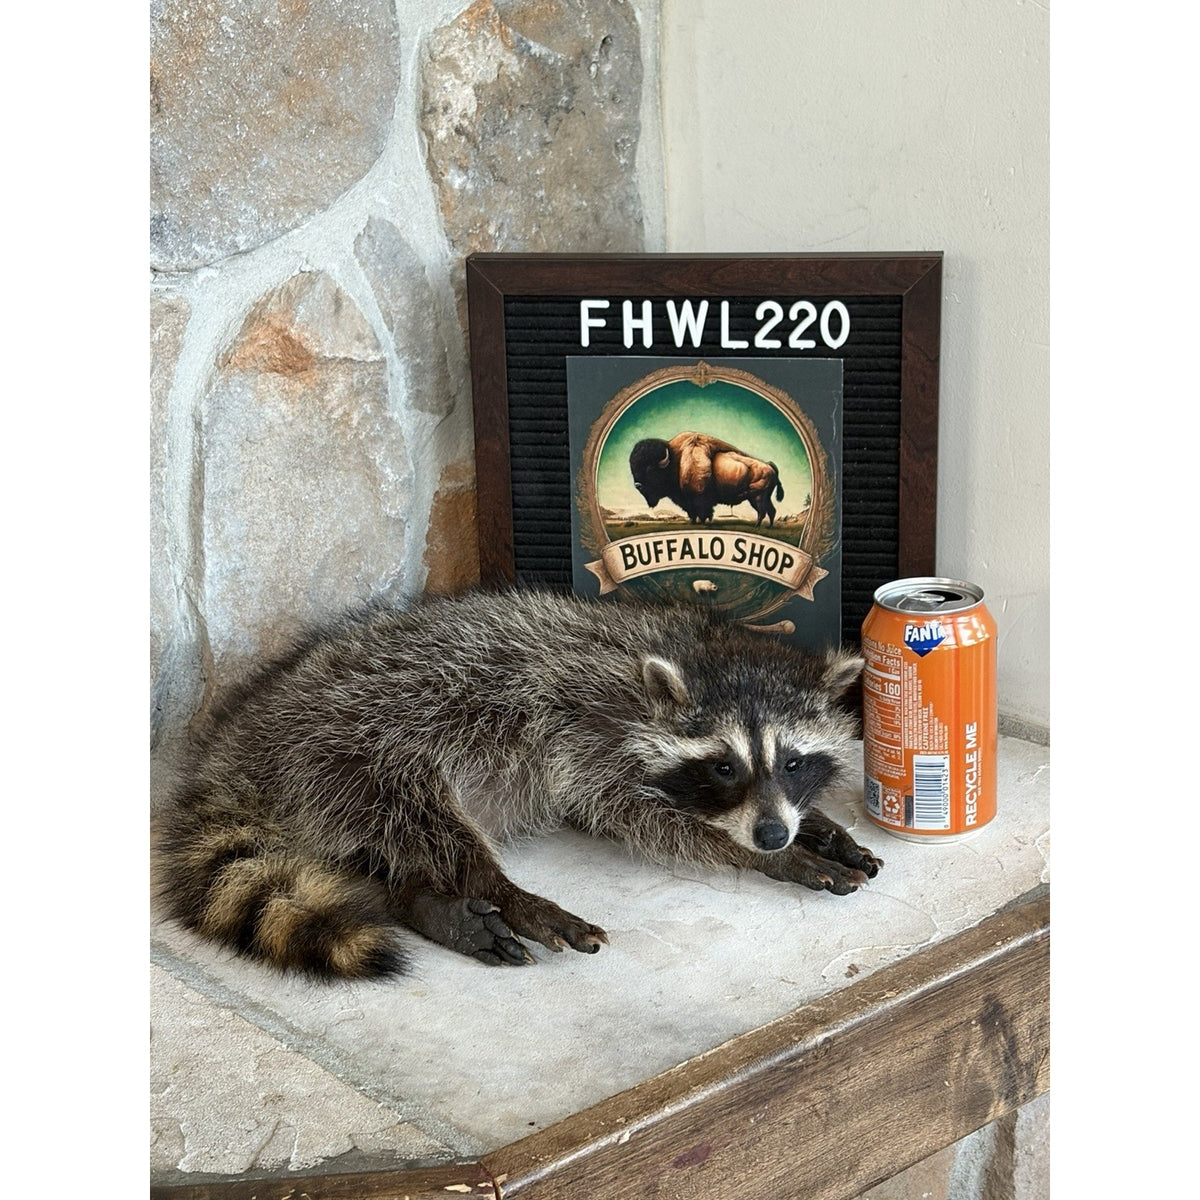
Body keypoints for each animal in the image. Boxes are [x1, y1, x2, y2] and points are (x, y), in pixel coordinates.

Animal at [154, 589, 882, 980]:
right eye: (725, 766)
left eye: (792, 763)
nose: (772, 833)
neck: (698, 649)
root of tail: (241, 734)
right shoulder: (589, 735)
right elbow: (638, 818)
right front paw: (771, 856)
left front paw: (816, 827)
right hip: (358, 746)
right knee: (427, 823)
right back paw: (498, 893)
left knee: (376, 850)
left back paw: (411, 897)